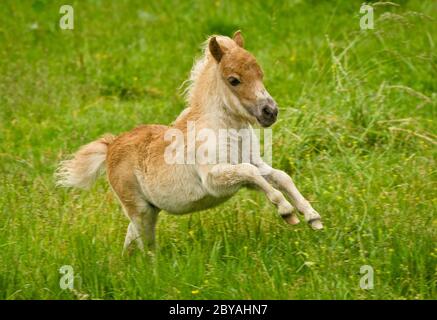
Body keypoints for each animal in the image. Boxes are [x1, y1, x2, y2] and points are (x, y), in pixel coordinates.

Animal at [56, 31, 322, 254]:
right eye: (234, 80)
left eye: (260, 74)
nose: (270, 112)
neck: (224, 129)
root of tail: (111, 146)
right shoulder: (215, 179)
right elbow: (252, 174)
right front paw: (286, 212)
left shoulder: (254, 166)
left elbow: (279, 177)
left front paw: (312, 217)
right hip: (140, 211)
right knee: (145, 245)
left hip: (148, 210)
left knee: (131, 240)